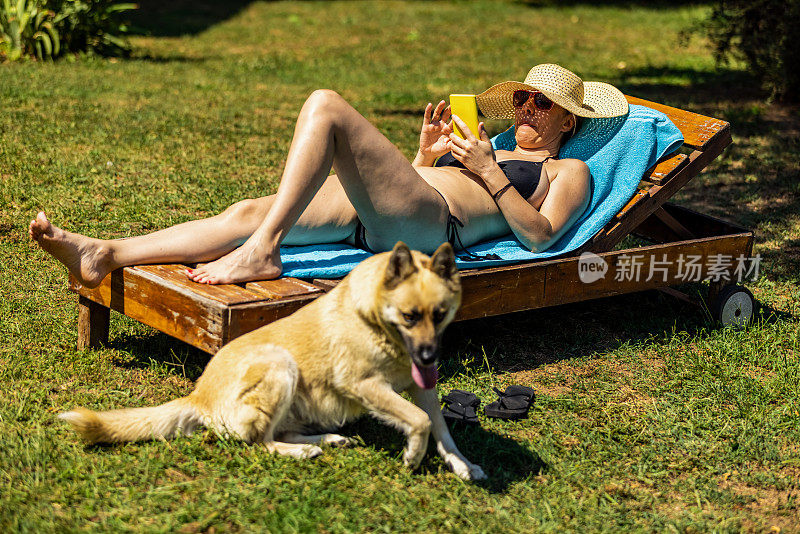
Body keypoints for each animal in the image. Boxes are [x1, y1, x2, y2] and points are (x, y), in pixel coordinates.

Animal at [59, 243, 484, 482]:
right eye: (410, 316)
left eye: (441, 314)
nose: (429, 356)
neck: (377, 320)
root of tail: (198, 396)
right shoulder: (364, 384)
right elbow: (421, 421)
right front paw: (414, 455)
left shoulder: (422, 386)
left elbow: (440, 426)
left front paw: (462, 465)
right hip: (281, 364)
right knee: (260, 442)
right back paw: (303, 451)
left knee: (282, 432)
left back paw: (326, 440)